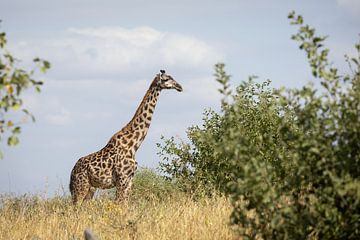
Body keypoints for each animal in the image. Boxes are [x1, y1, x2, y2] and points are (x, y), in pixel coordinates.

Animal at [69, 70, 183, 204]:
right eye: (166, 79)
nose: (179, 87)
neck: (133, 145)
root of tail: (72, 171)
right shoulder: (121, 179)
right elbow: (119, 203)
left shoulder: (129, 180)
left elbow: (125, 204)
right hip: (81, 186)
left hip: (91, 188)